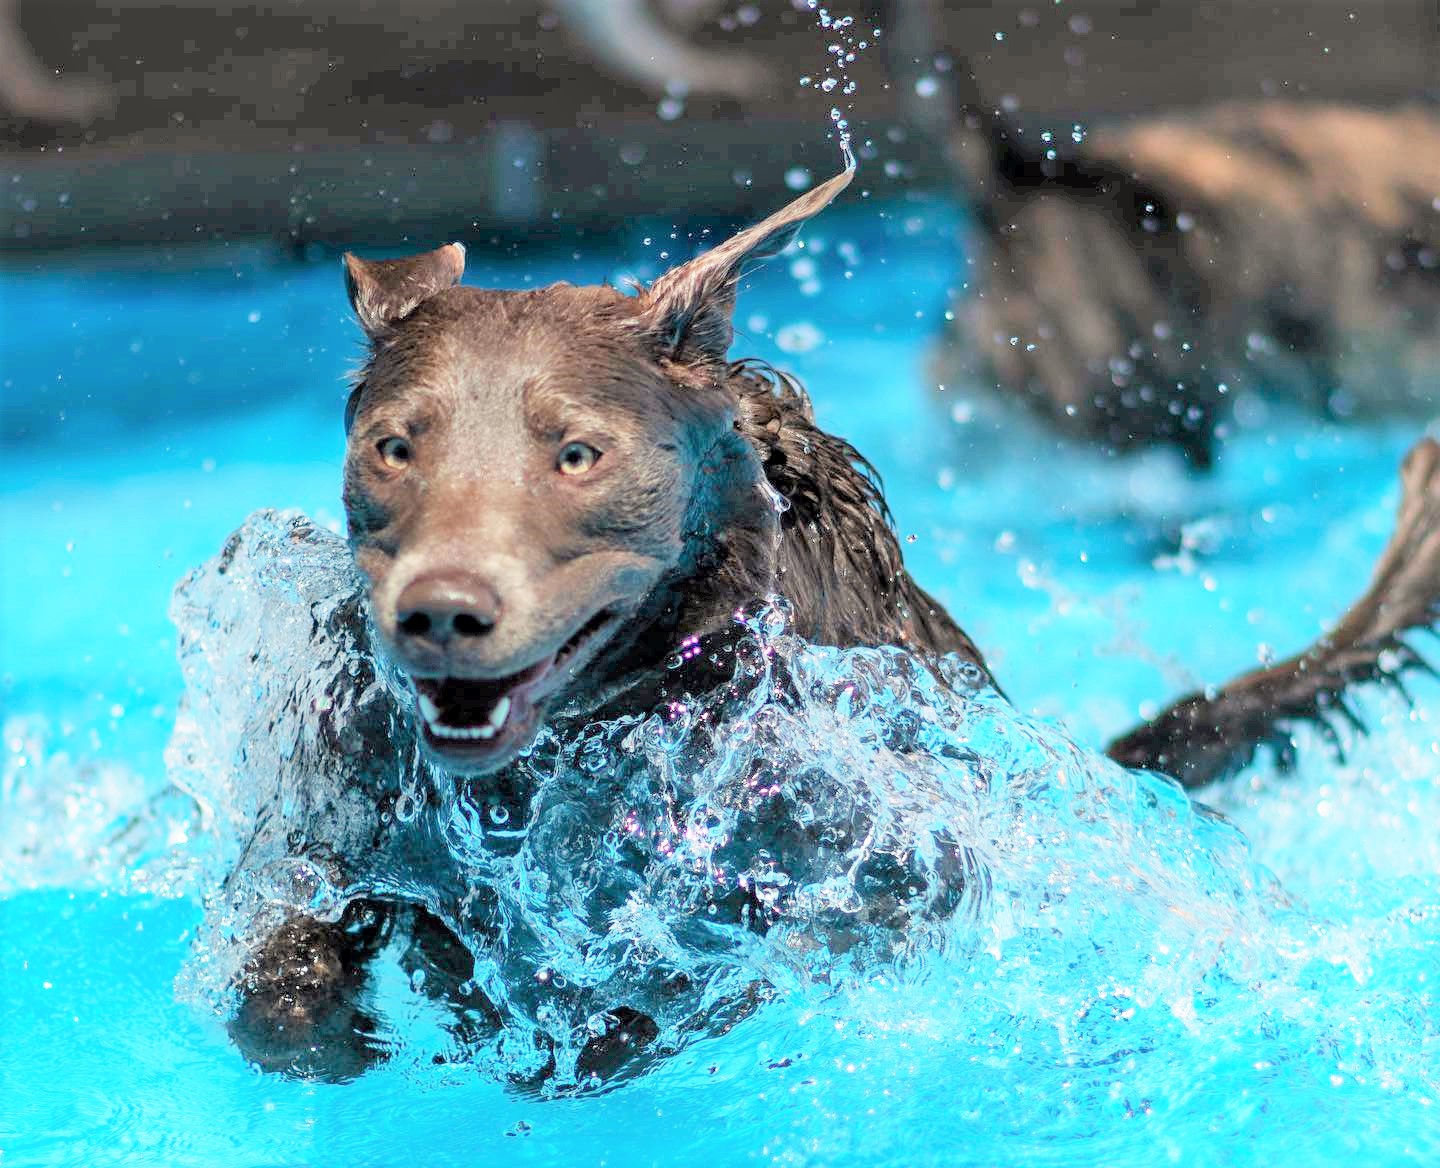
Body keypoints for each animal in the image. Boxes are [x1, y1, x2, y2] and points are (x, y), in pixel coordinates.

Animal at [221, 167, 1440, 1088]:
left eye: (576, 454)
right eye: (395, 446)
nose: (441, 612)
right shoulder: (355, 795)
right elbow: (280, 977)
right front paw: (334, 1011)